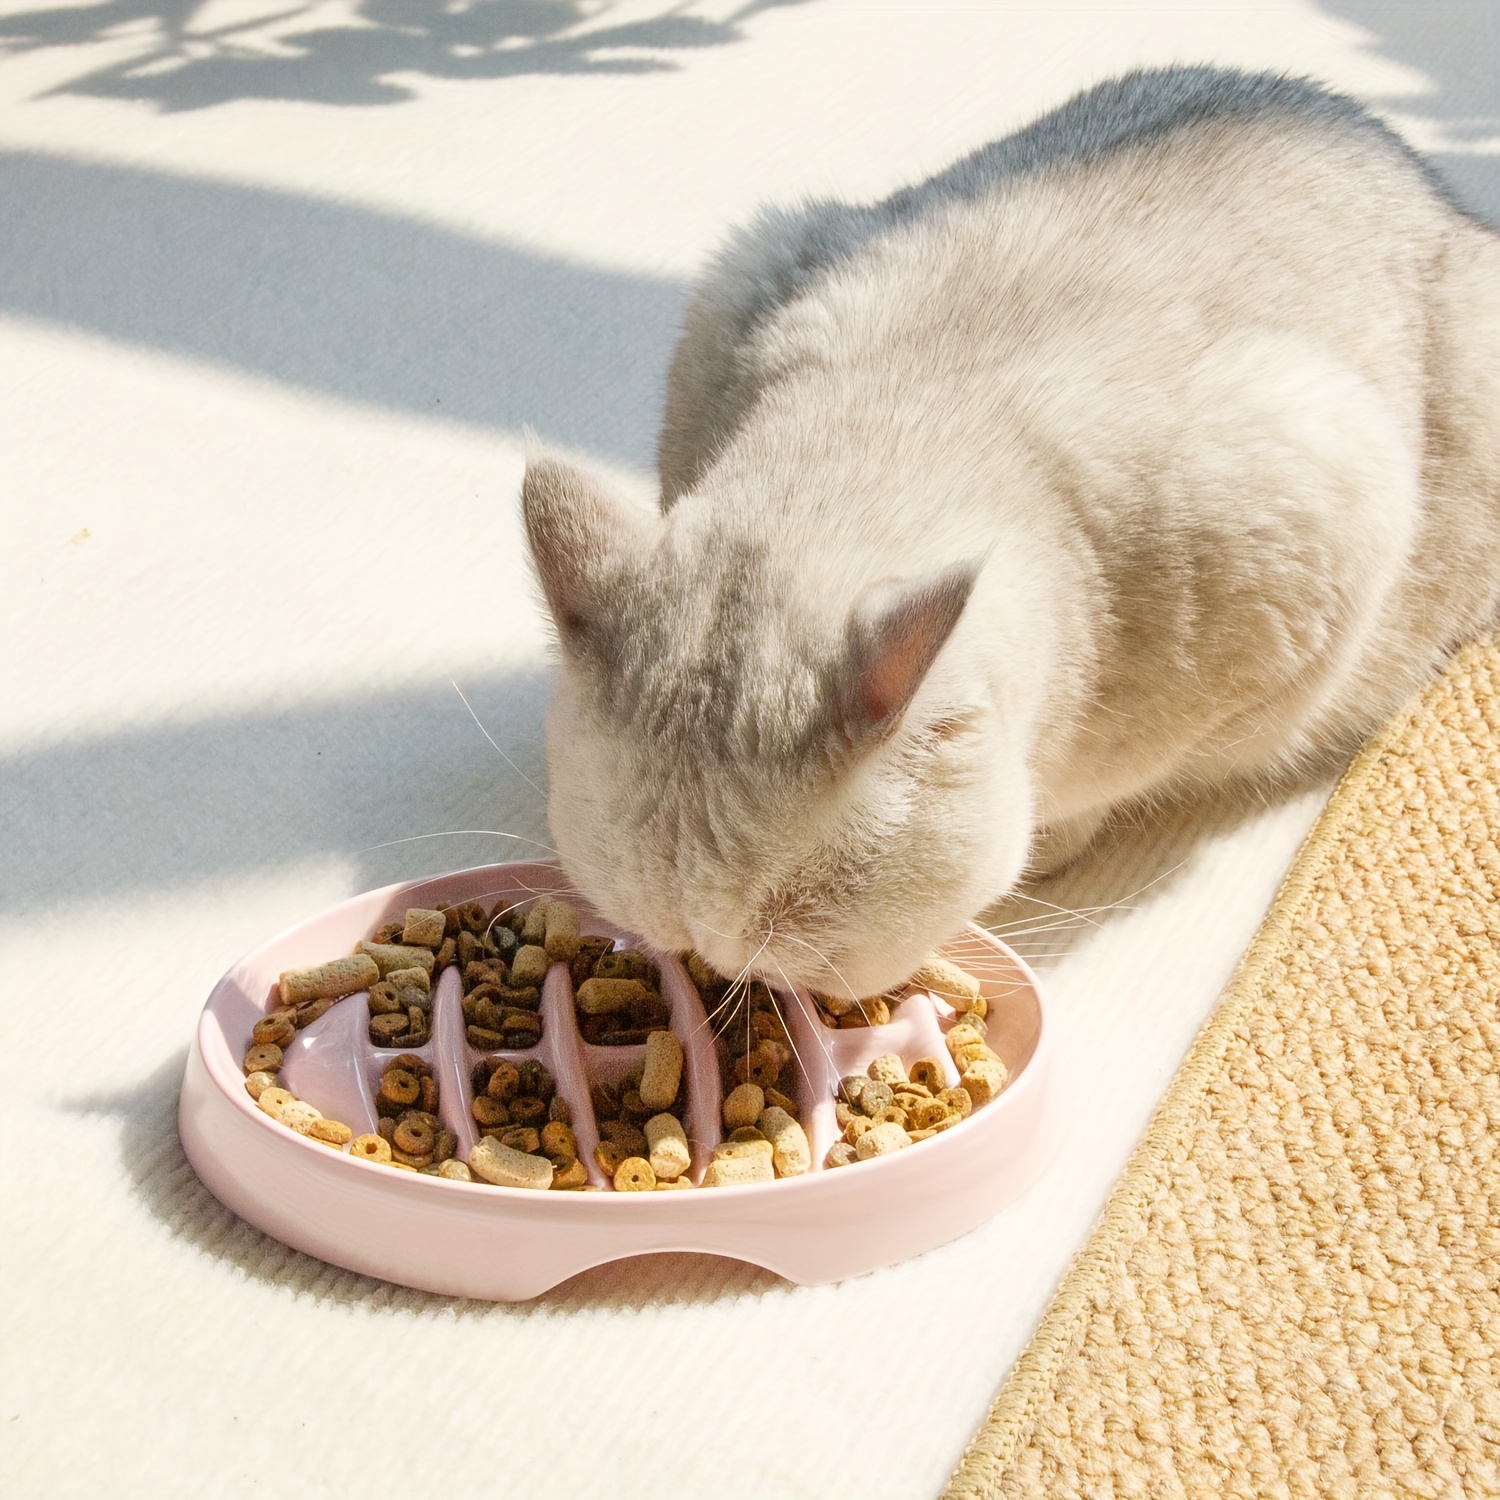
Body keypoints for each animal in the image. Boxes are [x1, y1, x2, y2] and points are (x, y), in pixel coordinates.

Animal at [522, 73, 1500, 1008]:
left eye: (789, 947)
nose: (718, 981)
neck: (909, 417)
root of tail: (1420, 174)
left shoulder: (1323, 530)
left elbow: (1103, 783)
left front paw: (1051, 839)